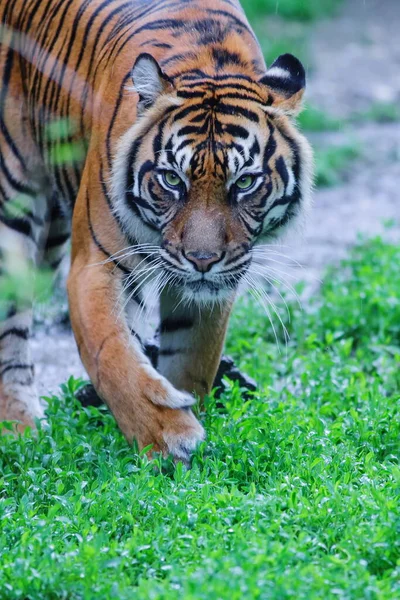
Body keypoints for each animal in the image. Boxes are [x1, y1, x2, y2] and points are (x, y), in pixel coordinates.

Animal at [0, 0, 312, 464]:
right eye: (171, 180)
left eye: (243, 183)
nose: (202, 261)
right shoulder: (96, 264)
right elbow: (112, 353)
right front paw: (168, 438)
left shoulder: (211, 286)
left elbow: (191, 358)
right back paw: (19, 429)